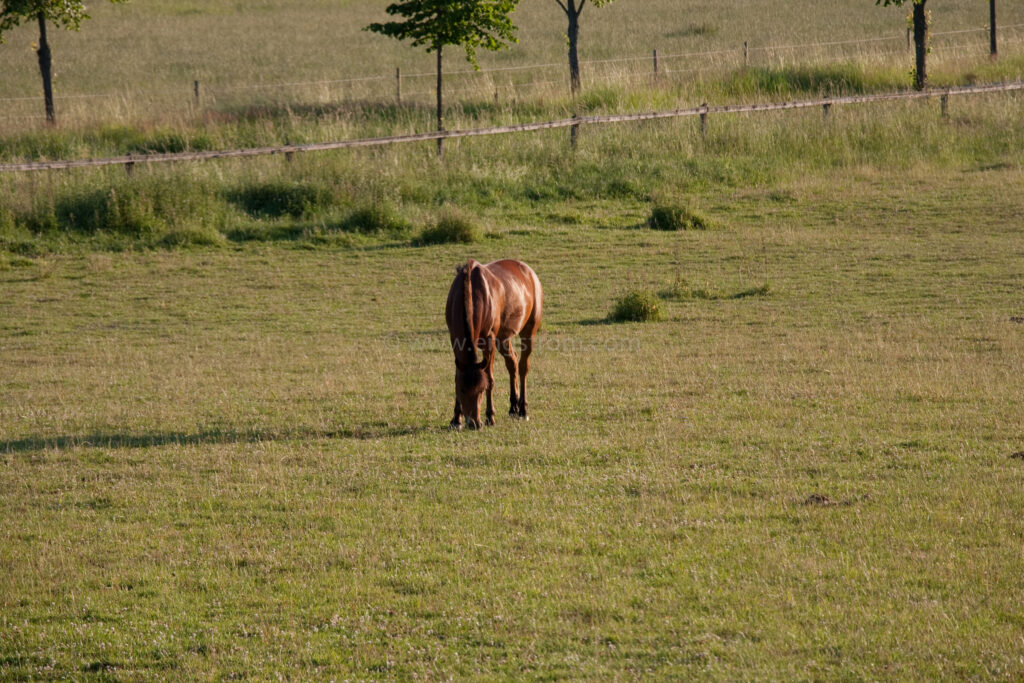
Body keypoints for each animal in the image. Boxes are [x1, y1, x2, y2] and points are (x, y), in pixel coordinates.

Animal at [448, 259, 544, 430]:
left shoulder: (489, 341)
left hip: (528, 332)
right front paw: (456, 419)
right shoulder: (454, 339)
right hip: (503, 338)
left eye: (481, 390)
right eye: (463, 390)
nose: (474, 423)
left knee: (523, 366)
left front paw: (490, 416)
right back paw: (513, 407)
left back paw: (523, 410)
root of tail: (529, 272)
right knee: (512, 363)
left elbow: (490, 379)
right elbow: (457, 376)